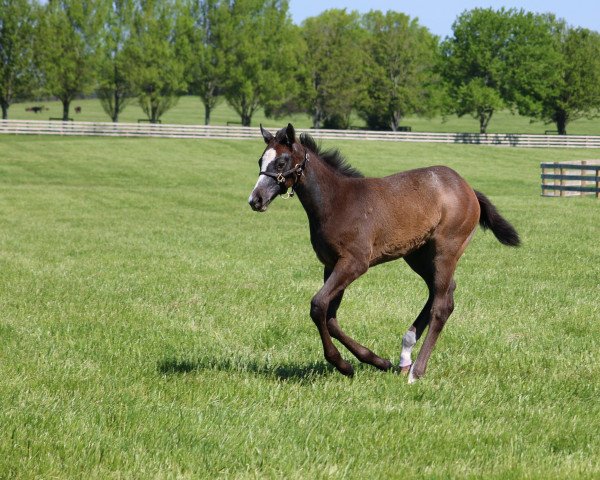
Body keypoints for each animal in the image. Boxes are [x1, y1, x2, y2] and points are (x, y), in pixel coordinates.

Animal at [246, 124, 516, 382]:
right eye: (260, 161)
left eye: (281, 162)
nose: (255, 200)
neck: (337, 201)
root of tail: (468, 188)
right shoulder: (331, 264)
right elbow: (330, 317)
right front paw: (377, 362)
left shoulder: (354, 263)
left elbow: (318, 305)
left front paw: (342, 364)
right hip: (418, 255)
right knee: (443, 291)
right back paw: (404, 356)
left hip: (445, 251)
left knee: (442, 305)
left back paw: (416, 372)